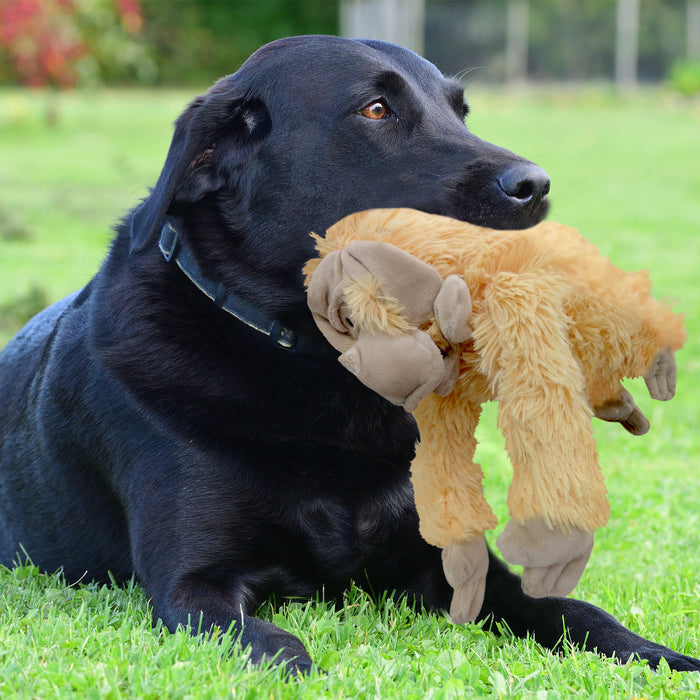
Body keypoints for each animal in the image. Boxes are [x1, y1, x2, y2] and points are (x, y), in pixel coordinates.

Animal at [0, 34, 696, 672]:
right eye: (376, 109)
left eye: (461, 111)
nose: (537, 185)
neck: (316, 362)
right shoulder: (193, 584)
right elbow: (278, 649)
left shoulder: (456, 558)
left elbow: (569, 608)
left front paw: (655, 654)